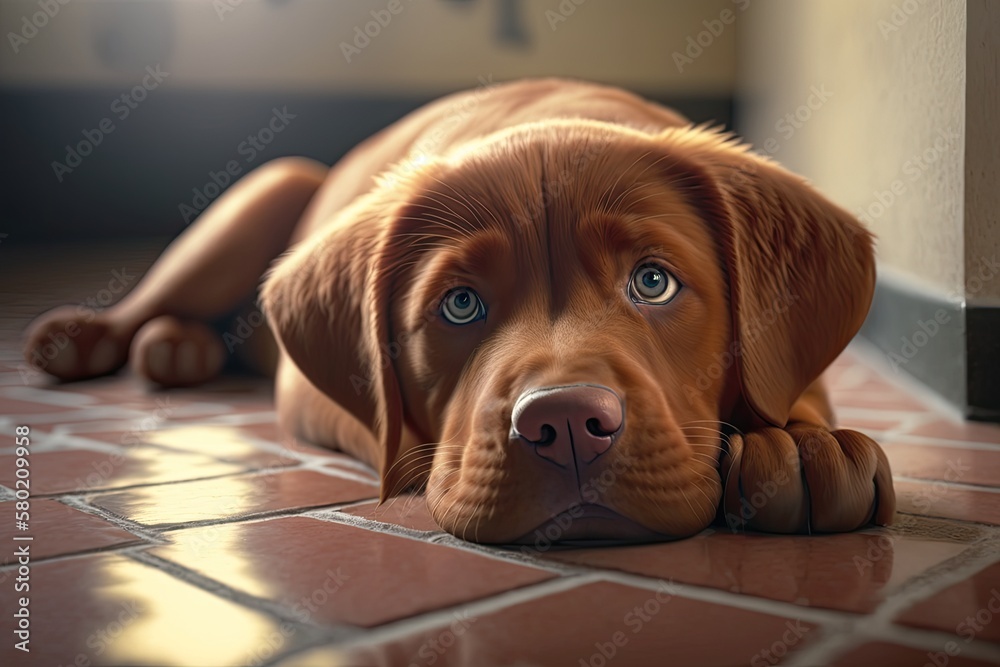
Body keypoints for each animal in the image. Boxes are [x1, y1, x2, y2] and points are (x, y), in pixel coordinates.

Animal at [25, 79, 900, 548]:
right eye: (461, 303)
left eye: (653, 282)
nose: (568, 424)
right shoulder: (313, 395)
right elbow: (394, 435)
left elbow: (790, 386)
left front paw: (802, 443)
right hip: (264, 191)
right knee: (158, 294)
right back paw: (92, 338)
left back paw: (180, 349)